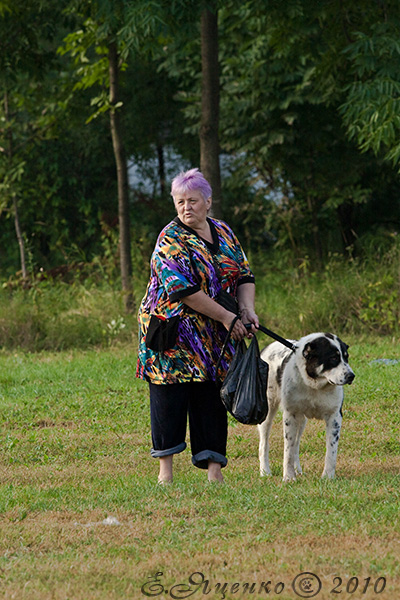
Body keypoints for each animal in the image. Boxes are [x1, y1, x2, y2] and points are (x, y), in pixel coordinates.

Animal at [258, 332, 354, 482]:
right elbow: (288, 451)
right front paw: (288, 477)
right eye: (333, 358)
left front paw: (328, 477)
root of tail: (267, 347)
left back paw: (298, 470)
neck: (315, 386)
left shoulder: (335, 417)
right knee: (264, 444)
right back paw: (265, 471)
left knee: (296, 444)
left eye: (346, 357)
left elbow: (331, 451)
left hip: (302, 420)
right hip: (267, 412)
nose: (351, 376)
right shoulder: (290, 415)